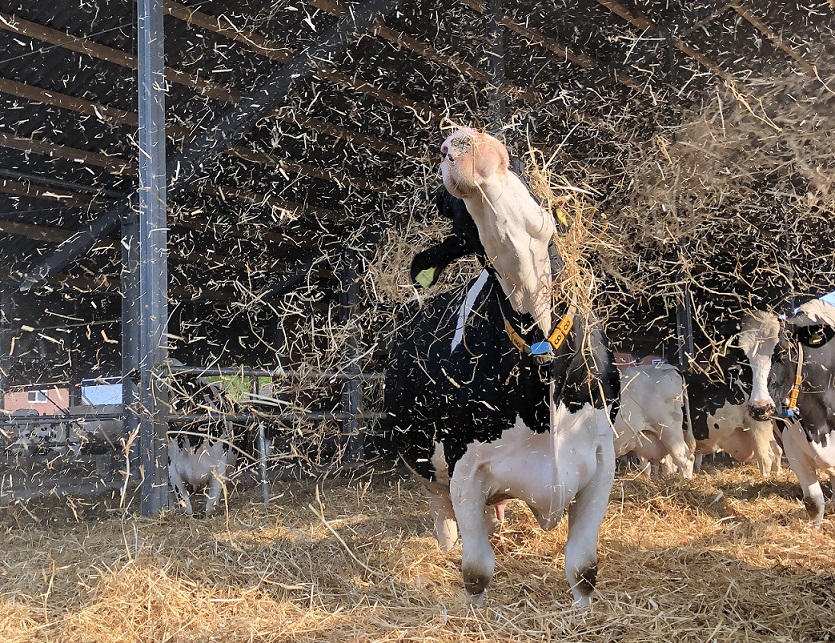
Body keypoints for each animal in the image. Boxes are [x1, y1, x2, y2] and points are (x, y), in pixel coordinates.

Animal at [386, 128, 620, 608]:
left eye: (527, 167)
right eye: (444, 203)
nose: (458, 139)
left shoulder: (601, 455)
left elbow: (583, 566)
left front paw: (584, 611)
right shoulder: (464, 466)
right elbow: (476, 570)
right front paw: (475, 612)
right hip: (421, 457)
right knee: (442, 509)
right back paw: (446, 540)